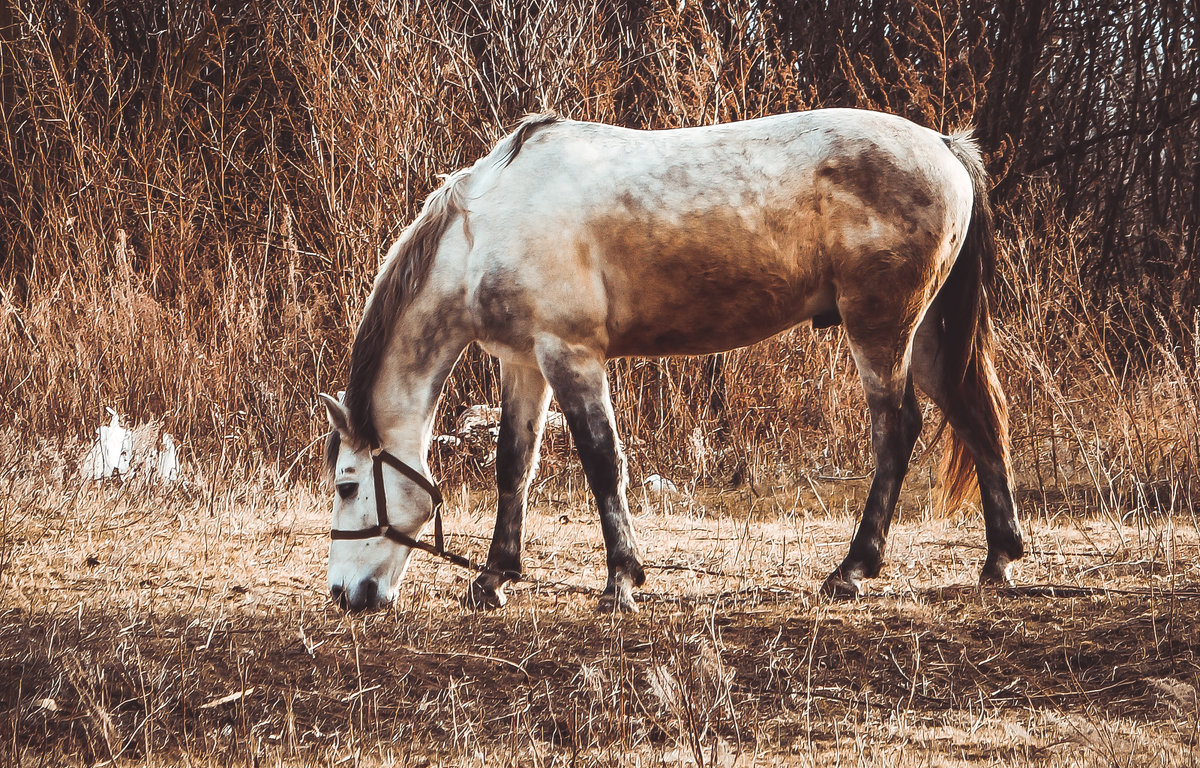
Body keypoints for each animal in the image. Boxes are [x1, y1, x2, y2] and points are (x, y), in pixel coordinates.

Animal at [324, 108, 1027, 612]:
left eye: (348, 485)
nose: (345, 595)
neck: (485, 226)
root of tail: (945, 145)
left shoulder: (571, 355)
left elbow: (602, 463)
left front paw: (620, 583)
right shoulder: (523, 363)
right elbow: (513, 466)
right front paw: (493, 579)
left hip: (880, 330)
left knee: (897, 430)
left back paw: (852, 570)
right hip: (926, 336)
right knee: (978, 419)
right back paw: (999, 559)